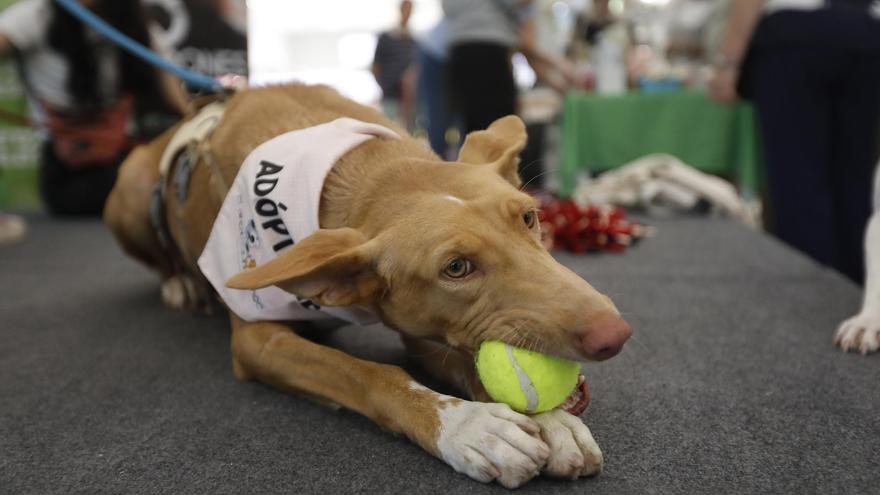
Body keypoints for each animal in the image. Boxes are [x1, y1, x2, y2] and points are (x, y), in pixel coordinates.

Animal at [103, 85, 628, 488]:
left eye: (529, 218)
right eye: (456, 268)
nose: (615, 335)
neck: (359, 171)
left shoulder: (423, 330)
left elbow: (469, 359)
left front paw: (552, 421)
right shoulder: (257, 341)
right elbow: (367, 374)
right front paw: (467, 426)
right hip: (128, 192)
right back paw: (180, 285)